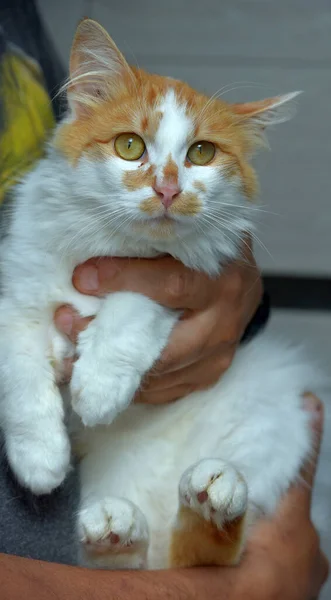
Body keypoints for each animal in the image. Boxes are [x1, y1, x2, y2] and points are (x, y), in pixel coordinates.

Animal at [0, 18, 322, 568]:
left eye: (202, 153)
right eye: (130, 146)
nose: (168, 190)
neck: (115, 243)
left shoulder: (178, 280)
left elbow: (130, 311)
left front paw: (97, 389)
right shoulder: (15, 298)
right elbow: (20, 382)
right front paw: (39, 459)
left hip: (269, 414)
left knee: (207, 552)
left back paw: (212, 491)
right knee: (132, 563)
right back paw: (118, 527)